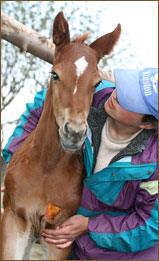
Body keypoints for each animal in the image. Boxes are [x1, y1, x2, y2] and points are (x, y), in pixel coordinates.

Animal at [1, 11, 120, 258]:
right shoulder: (13, 222)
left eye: (96, 83)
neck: (46, 167)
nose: (73, 133)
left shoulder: (59, 235)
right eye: (54, 74)